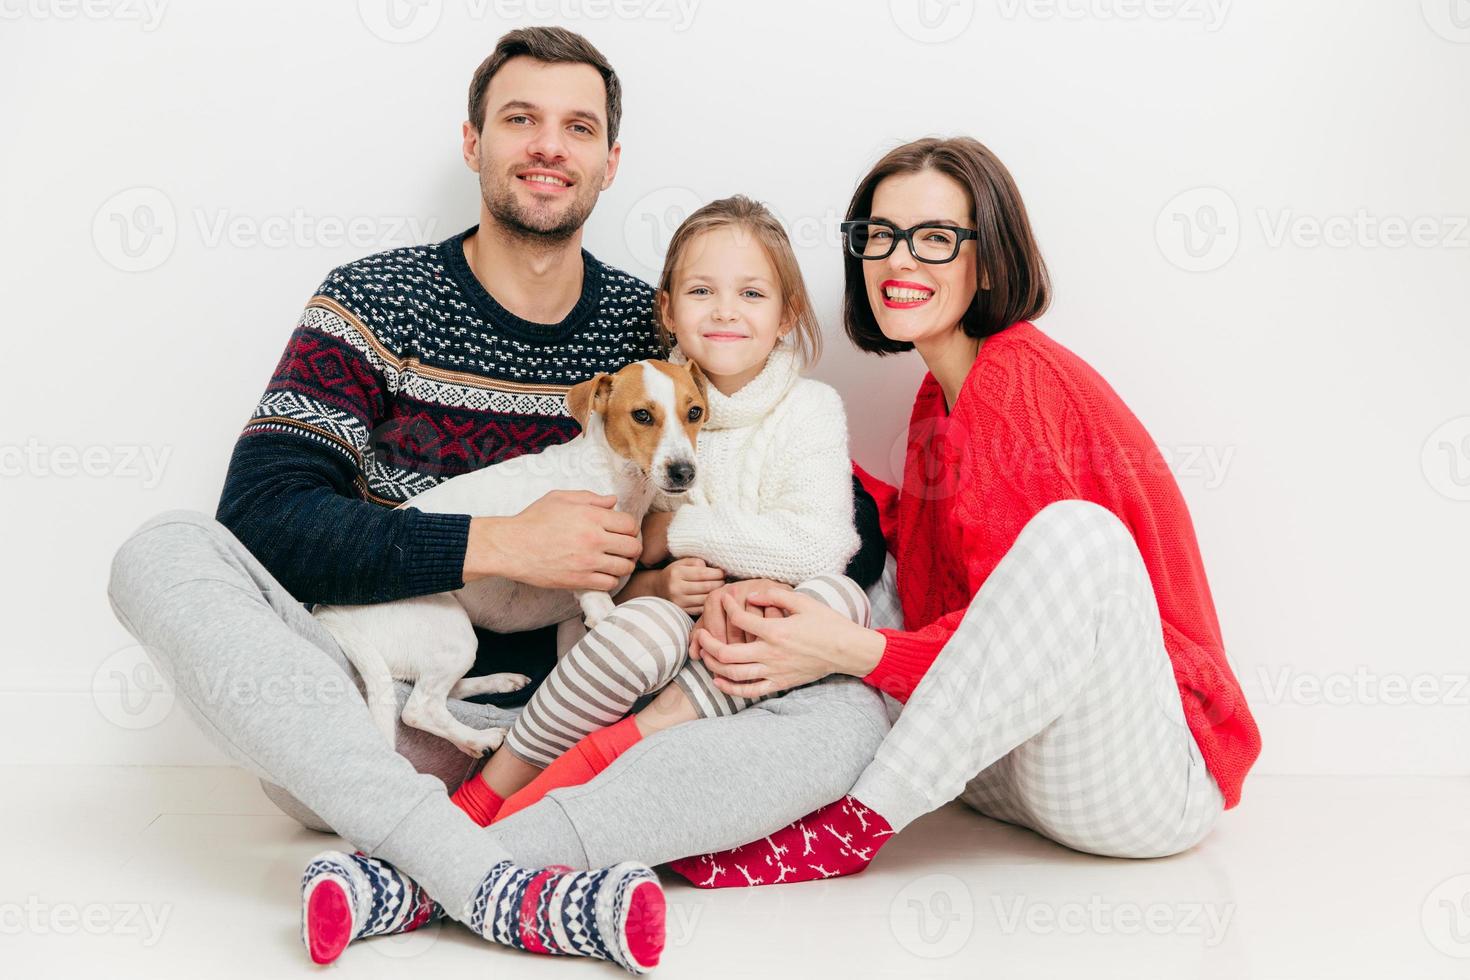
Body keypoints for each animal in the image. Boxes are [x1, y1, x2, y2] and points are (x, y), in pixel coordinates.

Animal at [316, 358, 711, 758]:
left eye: (695, 412)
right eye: (642, 415)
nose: (684, 472)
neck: (615, 479)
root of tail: (328, 612)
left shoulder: (571, 622)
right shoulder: (592, 592)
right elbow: (609, 618)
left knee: (442, 689)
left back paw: (501, 682)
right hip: (452, 635)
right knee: (419, 708)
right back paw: (479, 738)